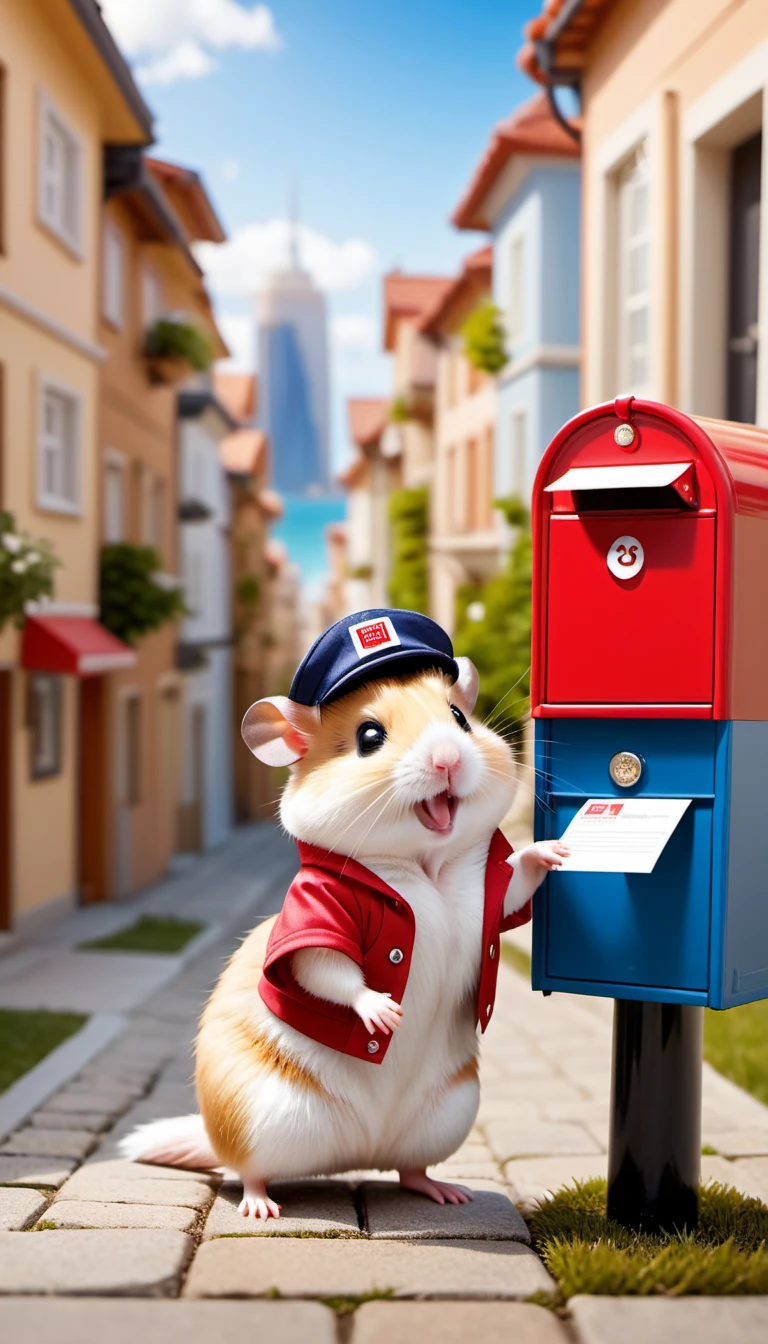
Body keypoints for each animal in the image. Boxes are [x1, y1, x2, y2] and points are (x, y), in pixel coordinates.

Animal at [119, 658, 564, 1220]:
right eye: (369, 736)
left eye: (460, 717)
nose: (447, 758)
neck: (427, 866)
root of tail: (359, 1150)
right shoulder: (319, 913)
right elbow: (328, 968)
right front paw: (382, 1012)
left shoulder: (490, 901)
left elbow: (514, 887)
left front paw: (549, 852)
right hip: (259, 1115)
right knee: (247, 1169)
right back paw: (260, 1205)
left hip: (448, 1114)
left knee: (410, 1169)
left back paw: (441, 1190)